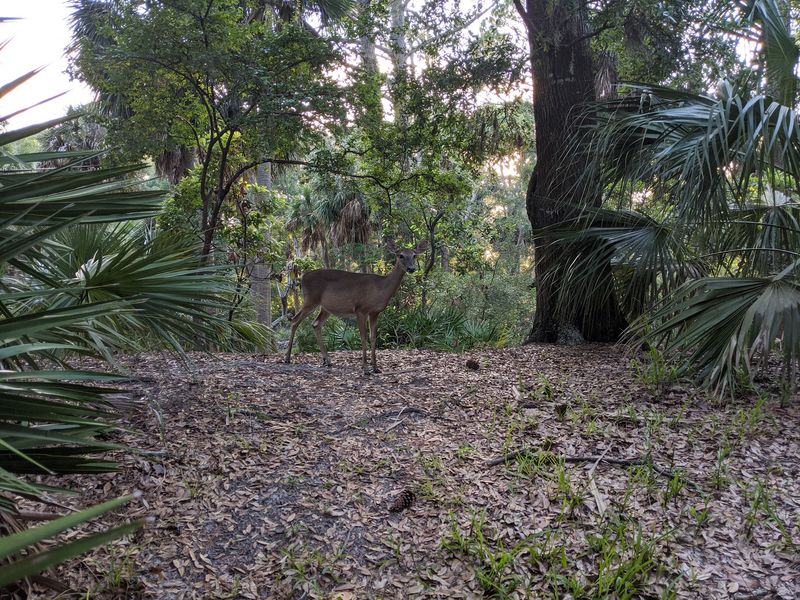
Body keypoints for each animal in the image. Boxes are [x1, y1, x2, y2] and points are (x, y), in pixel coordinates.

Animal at [283, 239, 429, 374]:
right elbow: (363, 337)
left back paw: (327, 360)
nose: (411, 269)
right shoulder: (360, 309)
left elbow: (373, 337)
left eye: (414, 255)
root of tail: (302, 277)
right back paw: (287, 358)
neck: (381, 288)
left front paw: (376, 368)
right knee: (295, 320)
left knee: (315, 324)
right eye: (400, 255)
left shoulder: (375, 312)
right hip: (311, 300)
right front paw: (365, 368)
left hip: (326, 308)